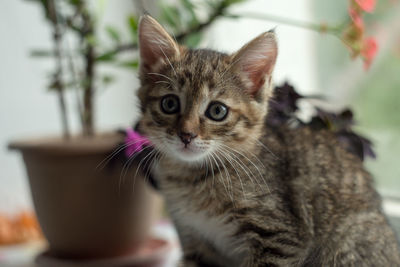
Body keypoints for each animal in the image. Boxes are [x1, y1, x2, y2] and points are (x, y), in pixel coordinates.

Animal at [135, 15, 400, 267]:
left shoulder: (280, 237)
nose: (186, 135)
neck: (192, 178)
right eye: (169, 104)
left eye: (217, 111)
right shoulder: (196, 241)